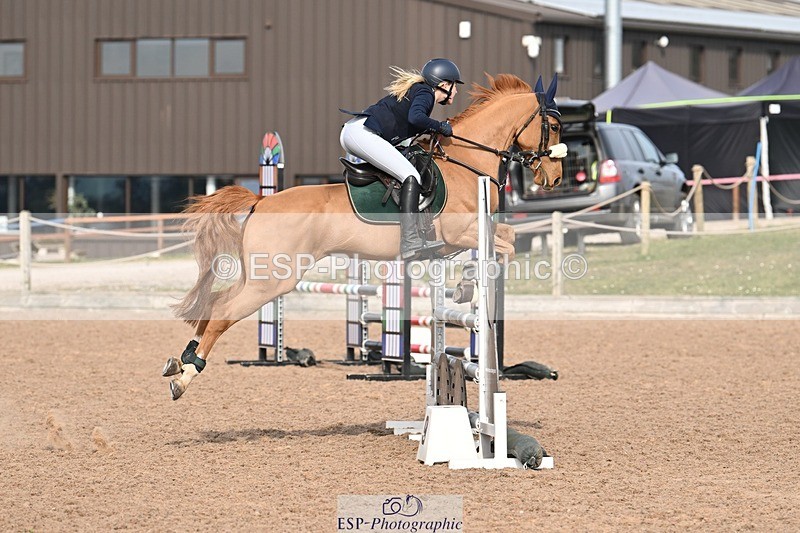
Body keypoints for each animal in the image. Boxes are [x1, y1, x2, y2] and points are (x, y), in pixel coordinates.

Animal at [162, 73, 565, 400]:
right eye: (556, 126)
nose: (555, 178)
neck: (466, 162)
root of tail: (262, 201)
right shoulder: (459, 231)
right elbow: (506, 244)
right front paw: (470, 286)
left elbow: (505, 240)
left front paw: (469, 284)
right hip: (274, 281)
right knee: (223, 313)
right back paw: (186, 376)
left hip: (259, 275)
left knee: (217, 302)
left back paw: (180, 361)